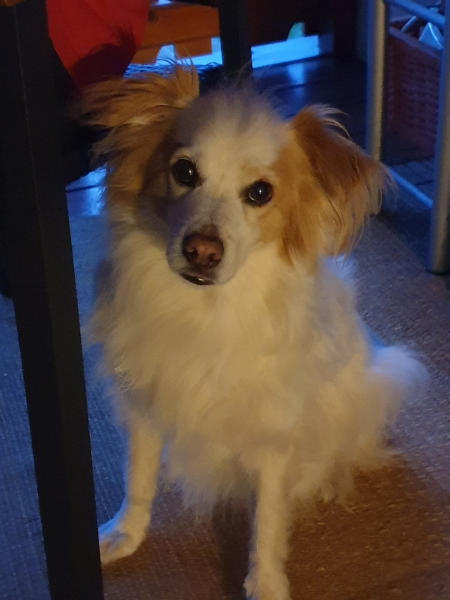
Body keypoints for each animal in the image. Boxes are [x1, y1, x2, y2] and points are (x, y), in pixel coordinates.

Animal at [79, 64, 425, 600]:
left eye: (260, 193)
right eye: (184, 172)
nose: (202, 251)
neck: (207, 311)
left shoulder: (273, 437)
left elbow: (266, 523)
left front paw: (265, 584)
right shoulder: (145, 405)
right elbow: (138, 479)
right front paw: (125, 535)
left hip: (378, 378)